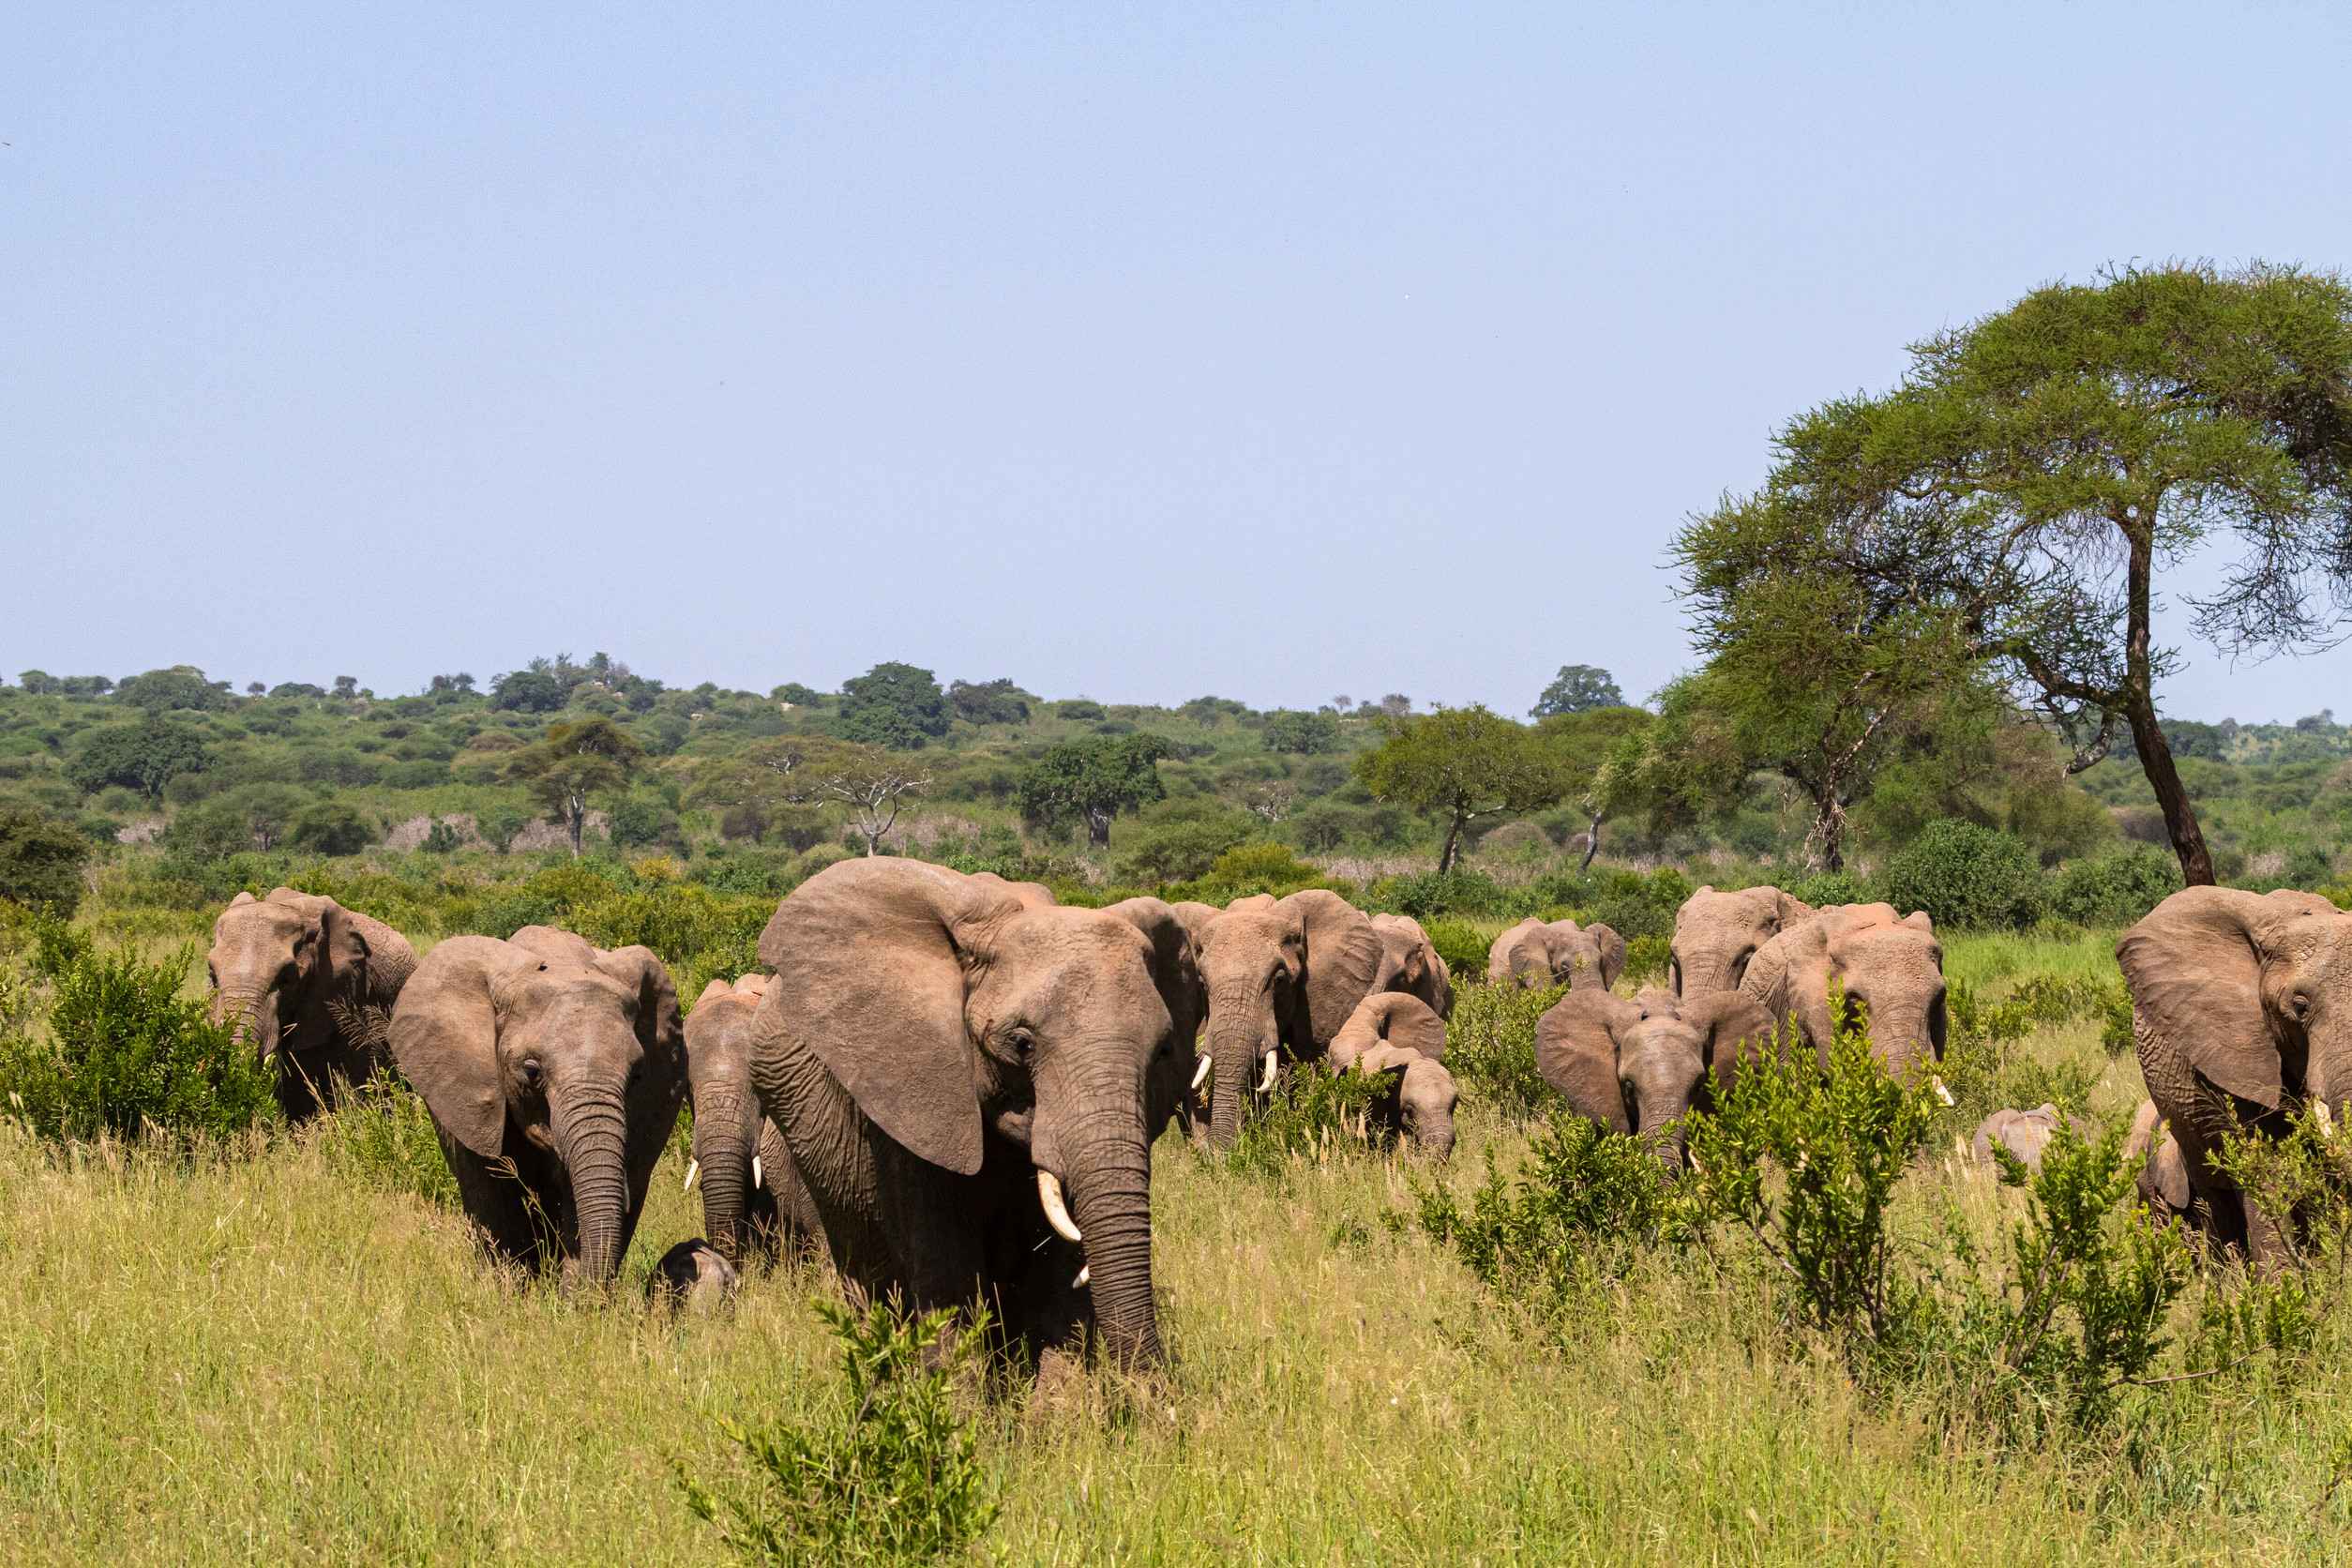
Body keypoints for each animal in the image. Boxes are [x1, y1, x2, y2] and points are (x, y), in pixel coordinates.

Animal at [389, 925, 687, 1286]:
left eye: (638, 1075)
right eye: (531, 1071)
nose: (588, 1291)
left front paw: (573, 1292)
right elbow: (491, 1191)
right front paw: (508, 1289)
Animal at [745, 859, 1201, 1370]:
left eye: (1163, 1051)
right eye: (1021, 1044)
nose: (1152, 1384)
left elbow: (1052, 1278)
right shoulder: (914, 1097)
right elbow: (947, 1274)